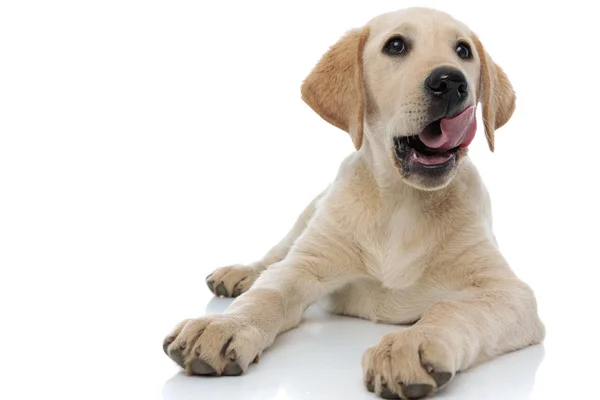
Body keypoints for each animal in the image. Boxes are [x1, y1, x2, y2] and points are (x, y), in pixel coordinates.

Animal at [163, 7, 544, 400]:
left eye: (463, 51)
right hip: (309, 215)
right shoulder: (306, 263)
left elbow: (451, 307)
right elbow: (268, 293)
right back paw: (239, 273)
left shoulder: (508, 291)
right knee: (274, 256)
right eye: (395, 45)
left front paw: (410, 344)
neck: (402, 202)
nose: (451, 82)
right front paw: (224, 325)